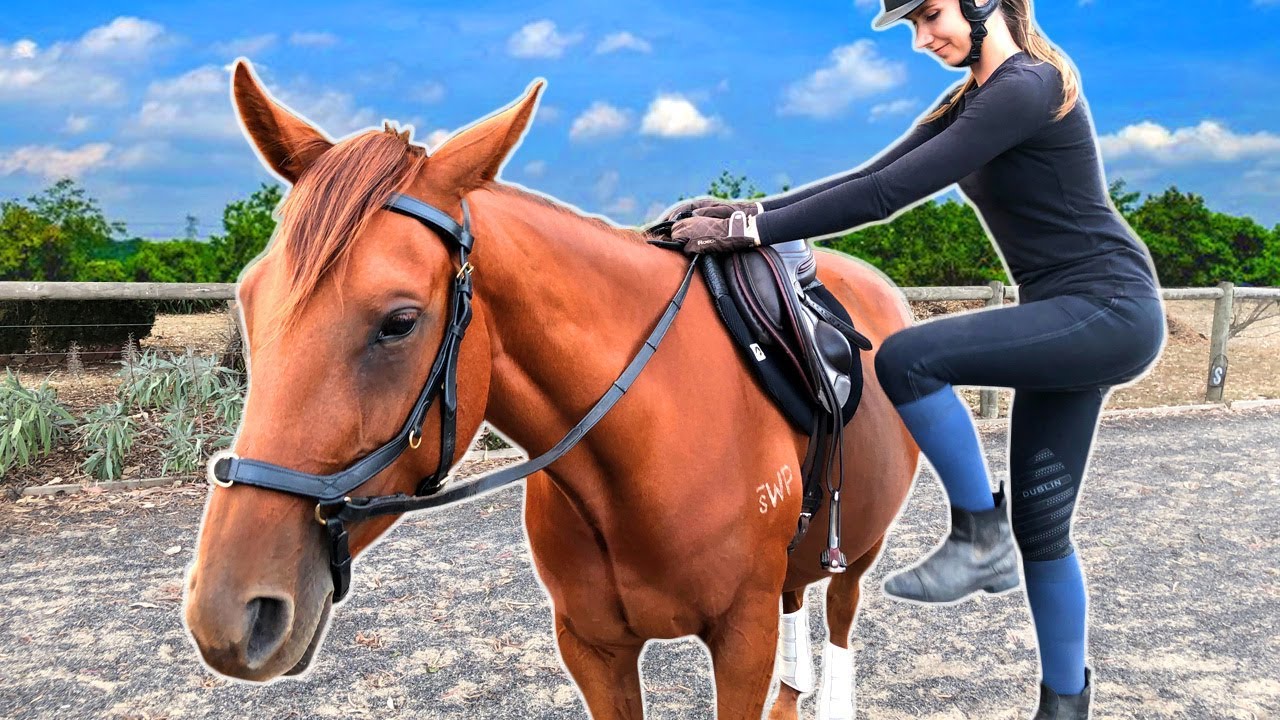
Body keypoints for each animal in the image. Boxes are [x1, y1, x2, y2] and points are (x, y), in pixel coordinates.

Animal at [183, 59, 921, 720]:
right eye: (249, 301)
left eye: (399, 322)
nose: (229, 613)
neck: (648, 445)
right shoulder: (593, 649)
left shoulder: (743, 639)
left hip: (857, 551)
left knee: (841, 613)